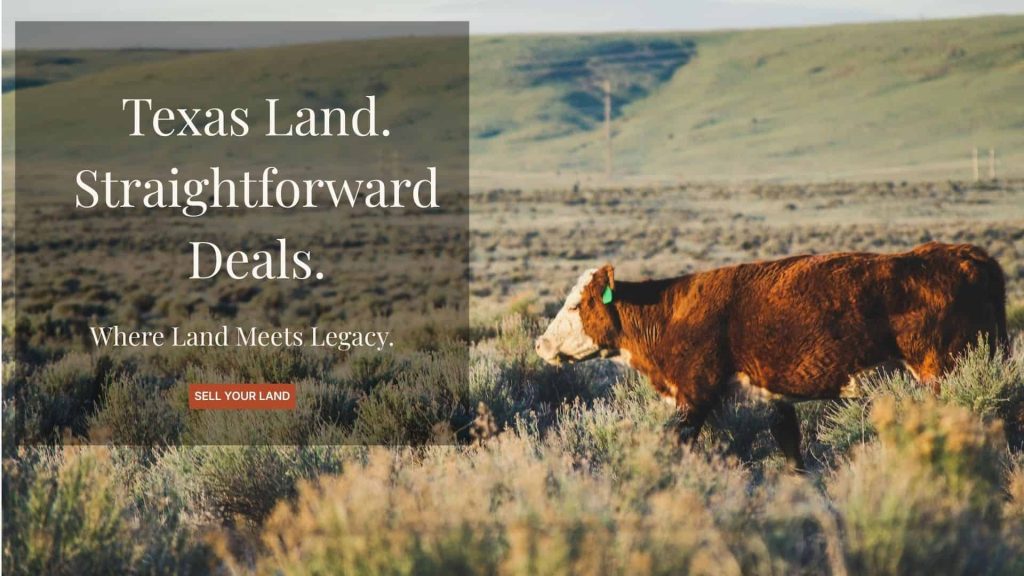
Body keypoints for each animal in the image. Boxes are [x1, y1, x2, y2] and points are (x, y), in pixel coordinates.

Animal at [534, 242, 1008, 470]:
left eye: (576, 305)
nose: (540, 344)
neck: (668, 312)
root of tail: (970, 257)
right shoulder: (770, 396)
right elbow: (790, 448)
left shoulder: (695, 394)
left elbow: (676, 441)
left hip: (943, 370)